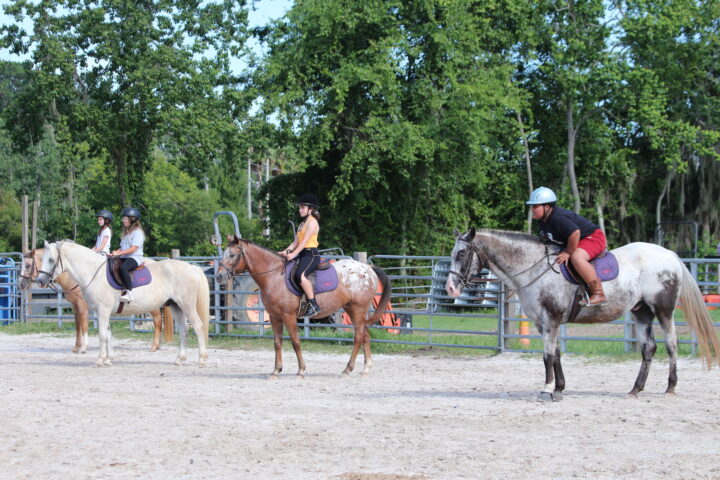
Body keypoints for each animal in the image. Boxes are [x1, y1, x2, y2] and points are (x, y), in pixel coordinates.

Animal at [37, 240, 210, 368]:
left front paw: (100, 360)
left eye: (51, 260)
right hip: (176, 307)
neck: (94, 273)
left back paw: (201, 360)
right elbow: (108, 334)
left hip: (187, 305)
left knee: (198, 326)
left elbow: (102, 335)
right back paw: (179, 359)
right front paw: (107, 360)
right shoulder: (102, 312)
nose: (40, 280)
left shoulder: (103, 311)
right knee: (183, 330)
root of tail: (192, 267)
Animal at [215, 236, 390, 378]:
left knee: (358, 337)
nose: (218, 276)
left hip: (358, 309)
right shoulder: (274, 317)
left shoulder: (289, 316)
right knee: (365, 334)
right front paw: (276, 371)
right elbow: (277, 343)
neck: (274, 276)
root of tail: (367, 269)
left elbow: (295, 341)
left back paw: (348, 369)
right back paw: (366, 368)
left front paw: (301, 370)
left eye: (232, 255)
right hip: (353, 310)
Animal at [444, 229, 720, 402]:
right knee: (648, 348)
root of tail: (669, 255)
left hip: (663, 311)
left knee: (672, 344)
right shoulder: (543, 323)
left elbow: (547, 356)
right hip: (641, 312)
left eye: (461, 253)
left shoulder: (551, 319)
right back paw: (635, 389)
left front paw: (547, 390)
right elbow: (555, 355)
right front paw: (559, 388)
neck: (534, 267)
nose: (450, 288)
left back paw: (671, 387)